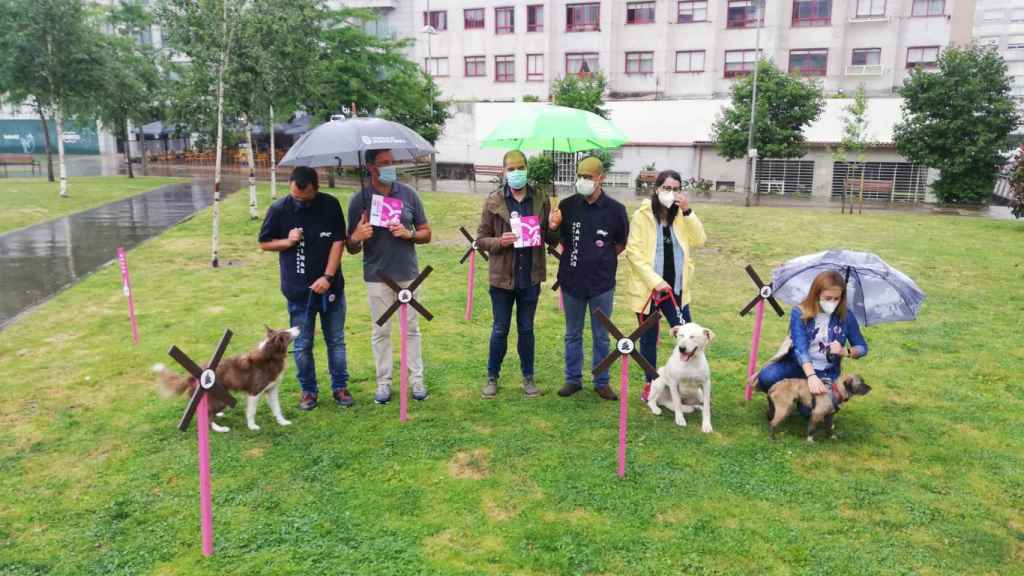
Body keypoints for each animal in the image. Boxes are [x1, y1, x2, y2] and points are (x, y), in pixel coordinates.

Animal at [151, 323, 299, 430]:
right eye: (287, 333)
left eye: (286, 329)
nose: (298, 327)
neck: (270, 356)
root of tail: (190, 376)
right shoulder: (254, 392)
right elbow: (251, 412)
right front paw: (252, 426)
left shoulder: (272, 390)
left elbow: (277, 408)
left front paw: (283, 422)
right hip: (217, 399)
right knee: (208, 417)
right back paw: (220, 428)